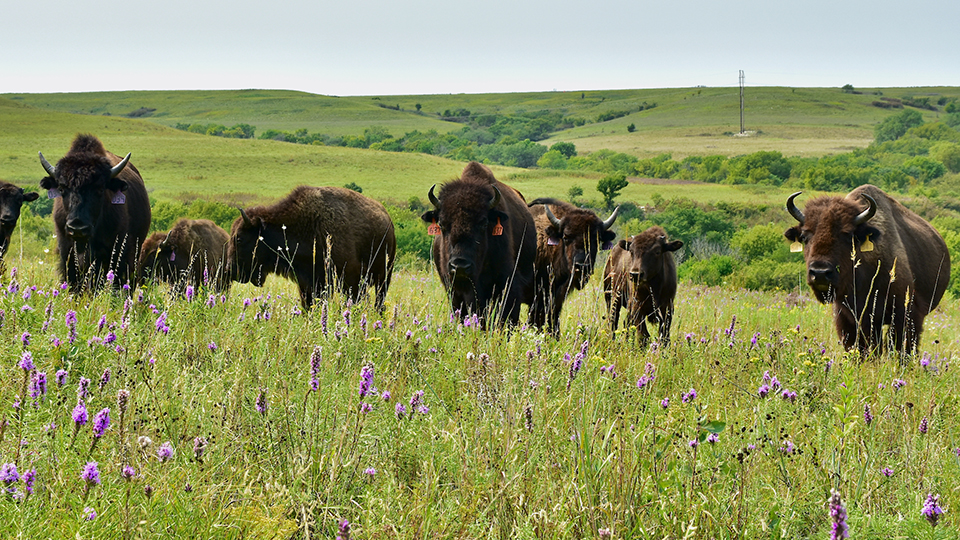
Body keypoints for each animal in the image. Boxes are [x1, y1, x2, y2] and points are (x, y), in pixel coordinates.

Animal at [227, 185, 396, 308]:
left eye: (239, 239)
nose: (230, 269)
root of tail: (388, 220)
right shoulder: (308, 284)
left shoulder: (350, 280)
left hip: (384, 277)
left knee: (379, 302)